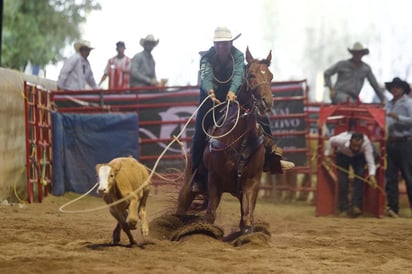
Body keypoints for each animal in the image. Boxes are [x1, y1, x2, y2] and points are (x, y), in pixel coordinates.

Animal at [176, 46, 274, 233]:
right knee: (181, 206)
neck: (239, 137)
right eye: (251, 75)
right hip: (189, 182)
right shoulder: (214, 179)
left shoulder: (252, 181)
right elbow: (210, 215)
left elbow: (247, 217)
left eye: (271, 76)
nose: (267, 102)